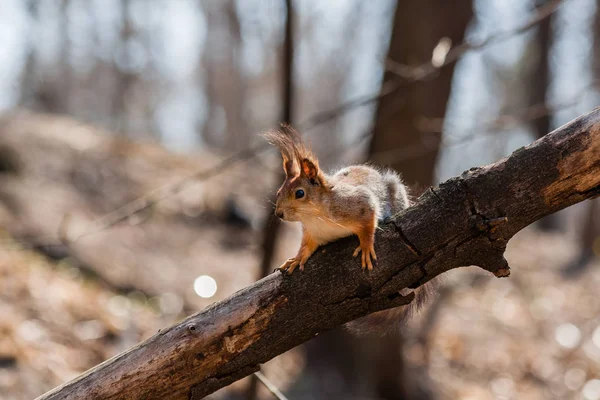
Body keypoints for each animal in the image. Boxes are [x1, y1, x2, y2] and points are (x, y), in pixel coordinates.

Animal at [264, 126, 434, 332]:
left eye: (300, 193)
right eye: (279, 192)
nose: (279, 213)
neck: (315, 217)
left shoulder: (360, 203)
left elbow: (369, 221)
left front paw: (366, 246)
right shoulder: (313, 234)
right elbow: (306, 247)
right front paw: (296, 259)